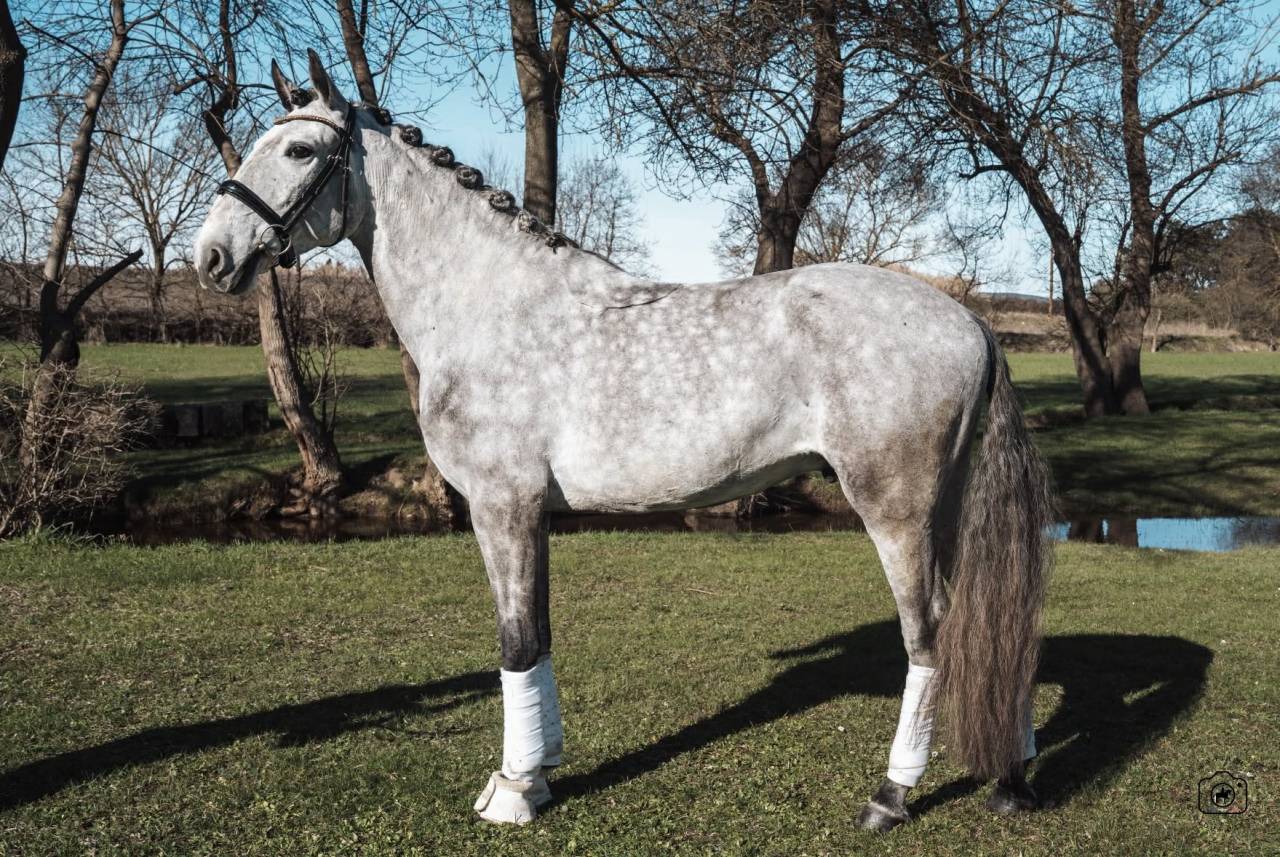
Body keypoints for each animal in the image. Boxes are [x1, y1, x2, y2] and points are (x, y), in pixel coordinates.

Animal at [193, 50, 1054, 831]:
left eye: (300, 151)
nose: (212, 257)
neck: (490, 305)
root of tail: (970, 321)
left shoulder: (501, 505)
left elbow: (514, 641)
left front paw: (513, 790)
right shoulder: (531, 512)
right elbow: (538, 633)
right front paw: (539, 771)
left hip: (895, 510)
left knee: (930, 633)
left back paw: (892, 794)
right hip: (943, 507)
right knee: (988, 628)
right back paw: (1012, 775)